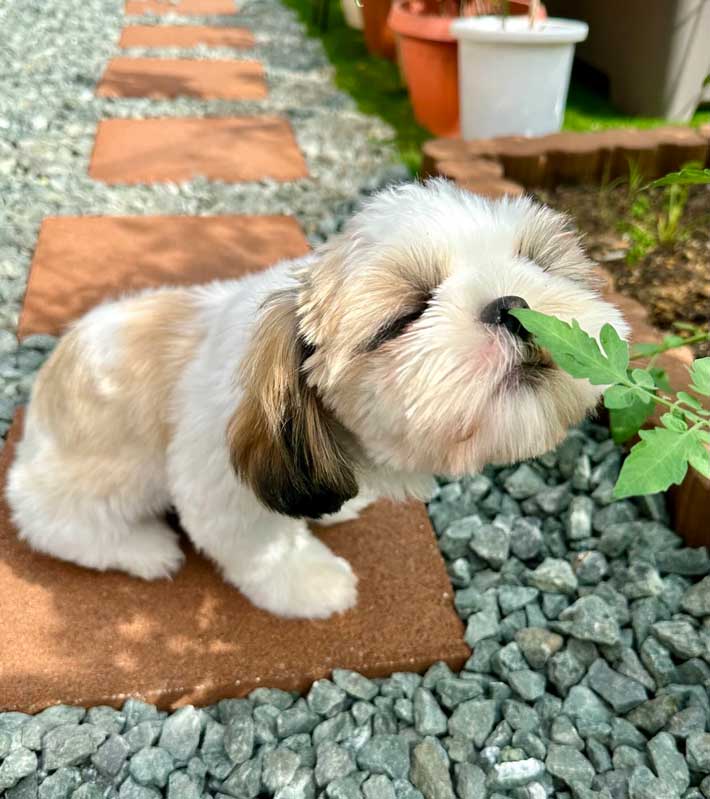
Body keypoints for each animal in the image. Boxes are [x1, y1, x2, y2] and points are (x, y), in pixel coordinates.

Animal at [5, 180, 628, 620]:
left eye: (538, 263)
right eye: (405, 316)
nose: (512, 305)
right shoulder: (221, 486)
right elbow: (265, 549)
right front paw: (313, 585)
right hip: (98, 481)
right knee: (54, 523)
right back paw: (144, 548)